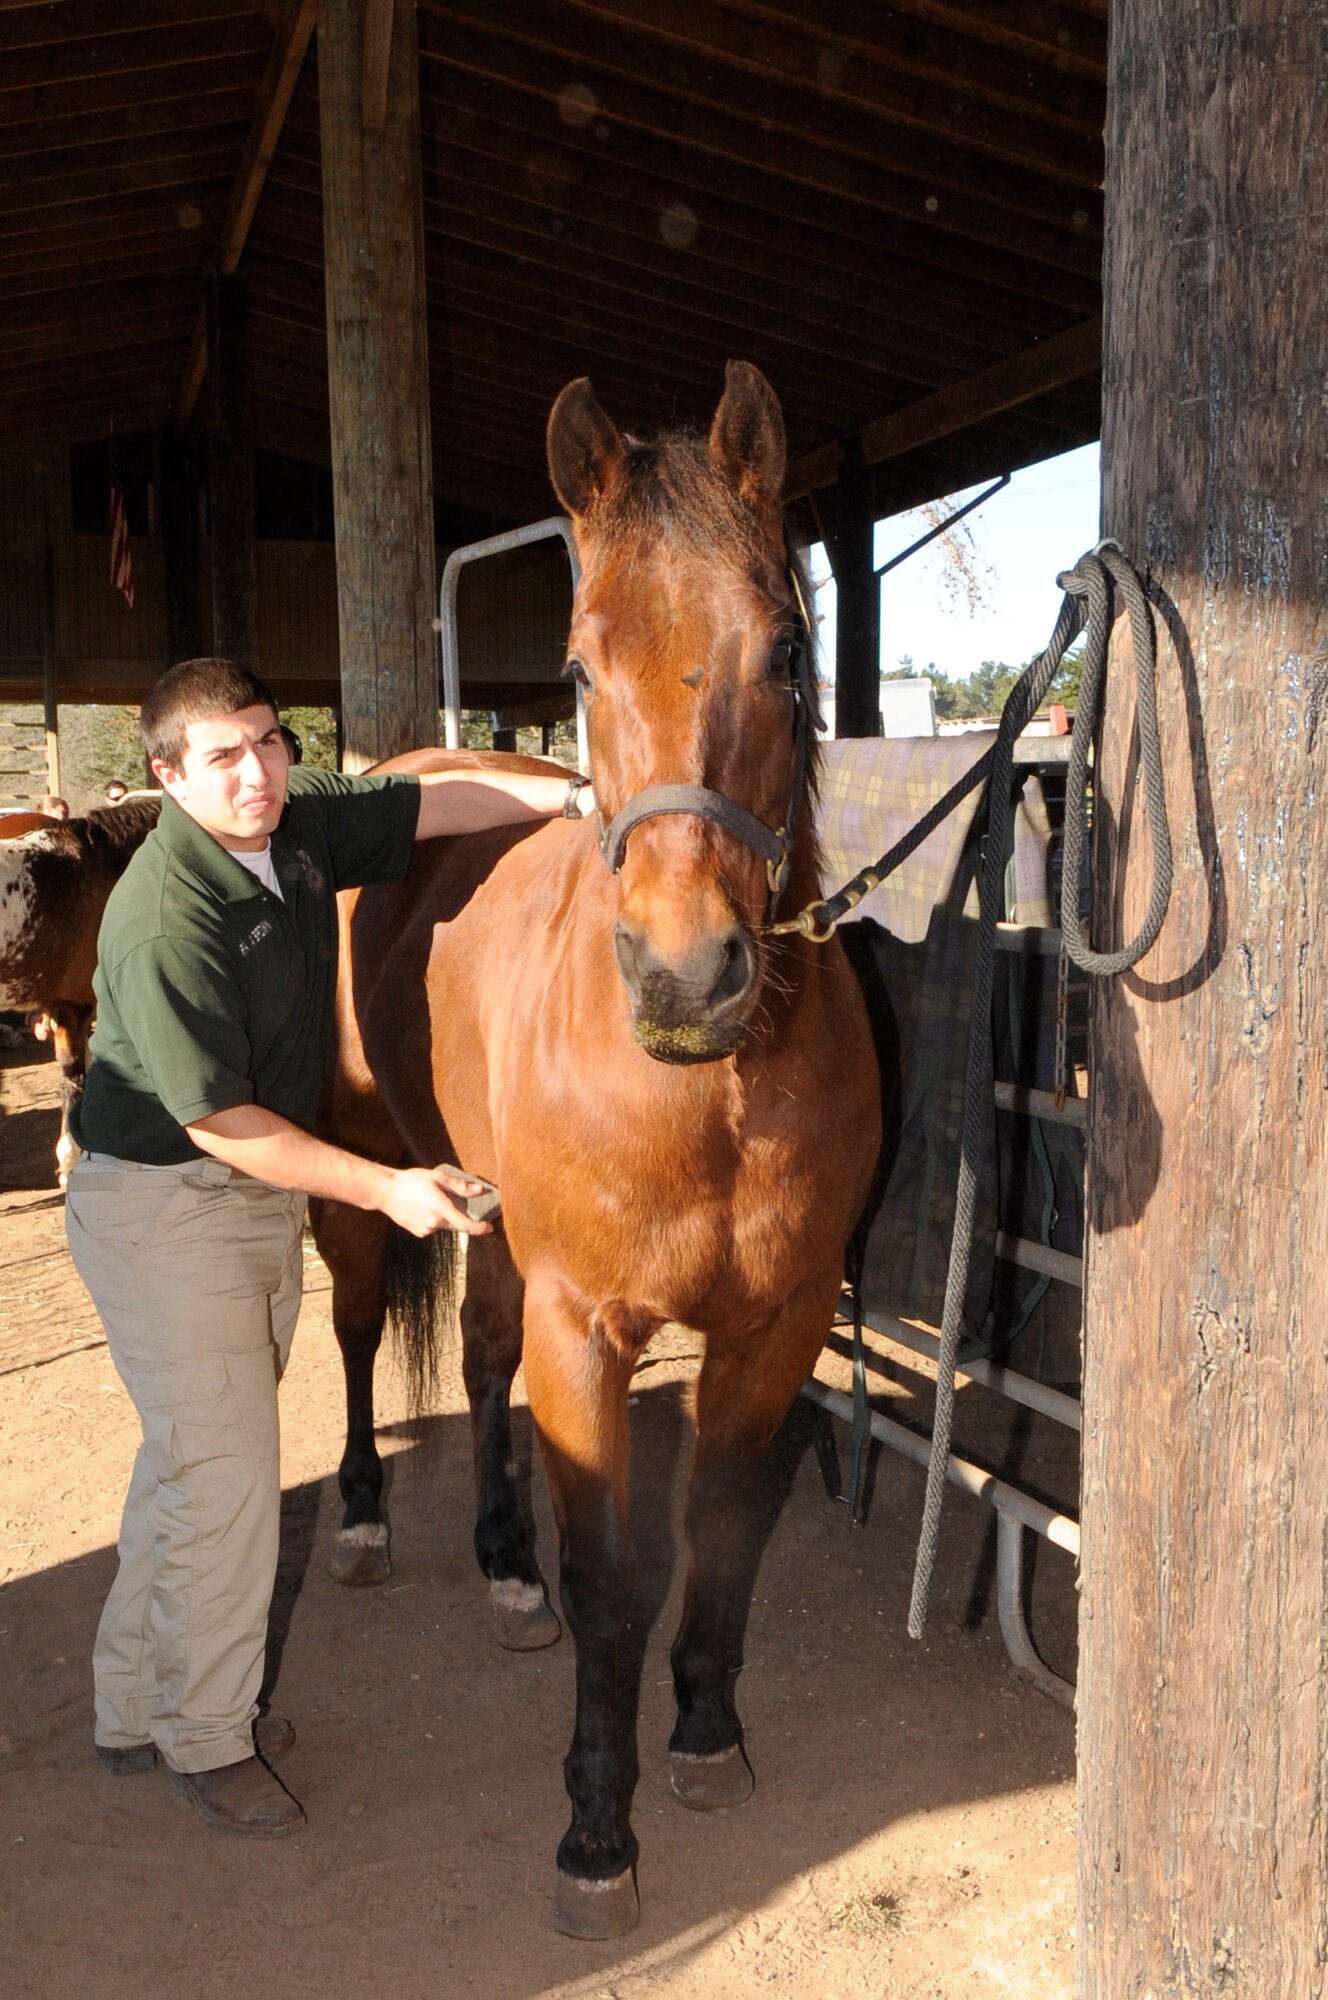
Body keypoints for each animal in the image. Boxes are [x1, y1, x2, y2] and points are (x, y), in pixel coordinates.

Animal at [312, 362, 882, 1938]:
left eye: (790, 647)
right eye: (574, 670)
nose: (688, 977)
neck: (708, 1096)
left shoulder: (773, 1325)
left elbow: (721, 1532)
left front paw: (701, 1731)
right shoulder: (591, 1332)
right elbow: (616, 1578)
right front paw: (593, 1829)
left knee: (479, 1351)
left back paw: (505, 1567)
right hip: (361, 1178)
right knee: (361, 1328)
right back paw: (367, 1520)